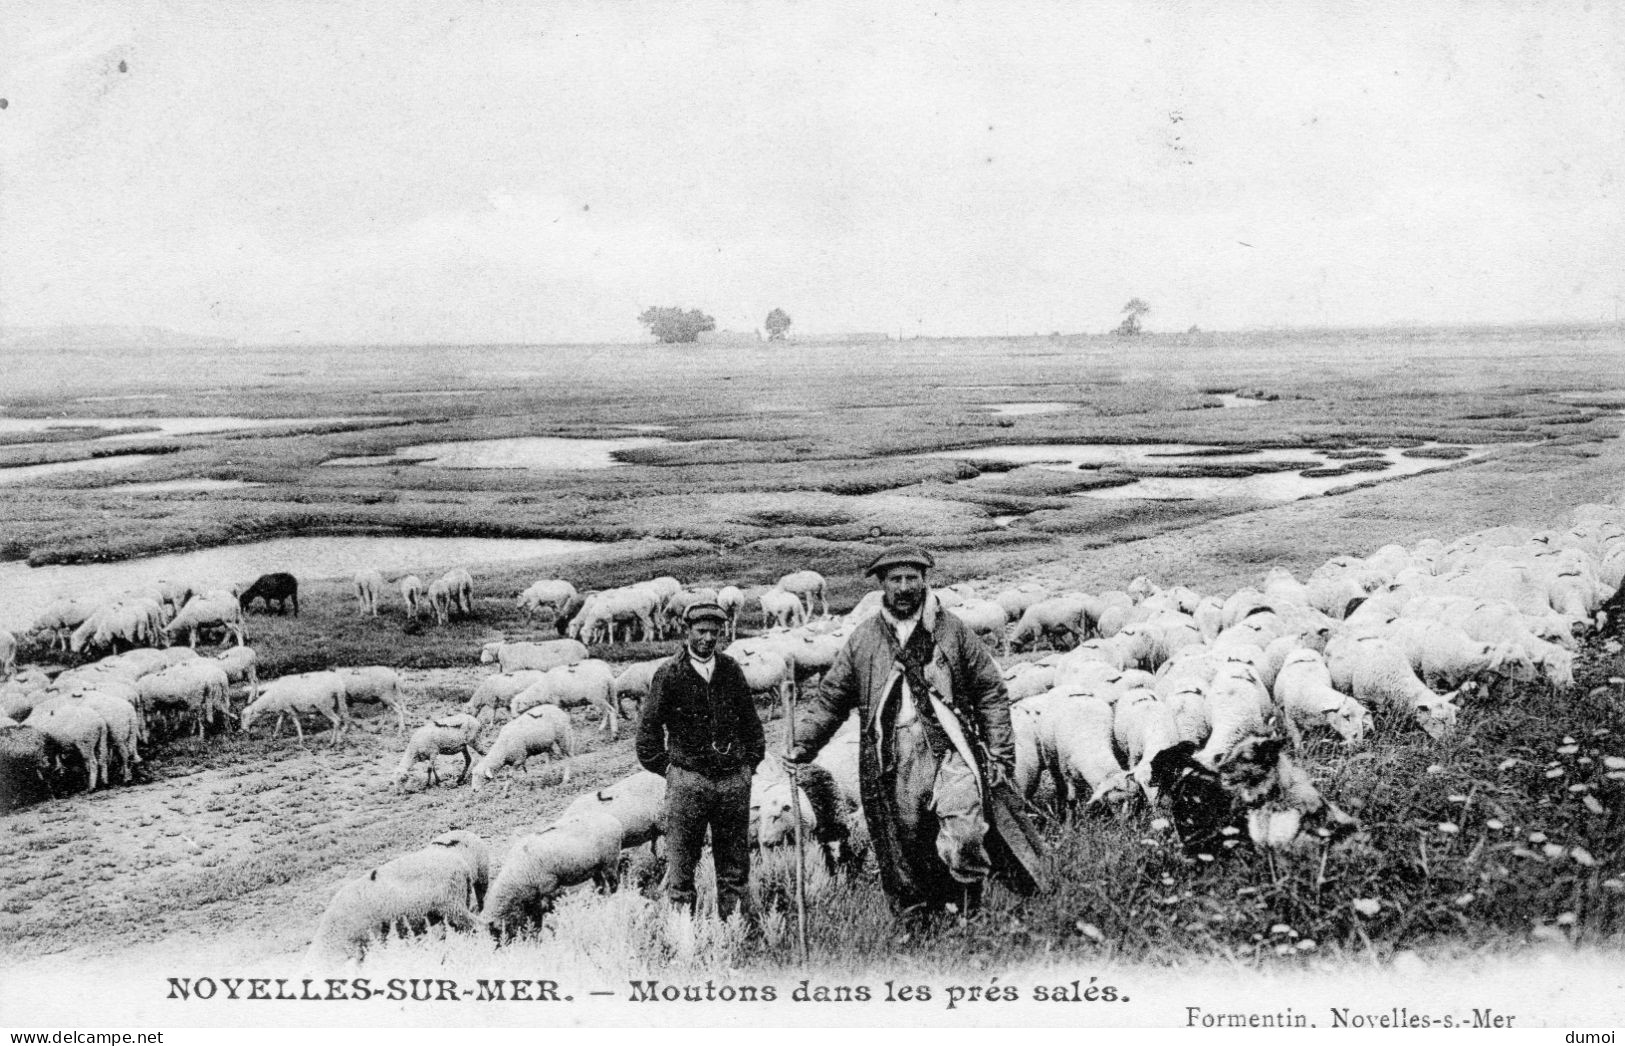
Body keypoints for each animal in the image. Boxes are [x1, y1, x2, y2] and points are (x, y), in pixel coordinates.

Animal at [477, 812, 624, 935]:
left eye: (495, 931)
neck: (515, 876)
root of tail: (614, 820)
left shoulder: (548, 887)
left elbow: (545, 909)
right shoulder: (533, 895)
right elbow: (533, 914)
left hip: (610, 861)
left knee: (614, 883)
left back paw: (613, 899)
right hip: (595, 867)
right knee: (601, 885)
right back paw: (599, 900)